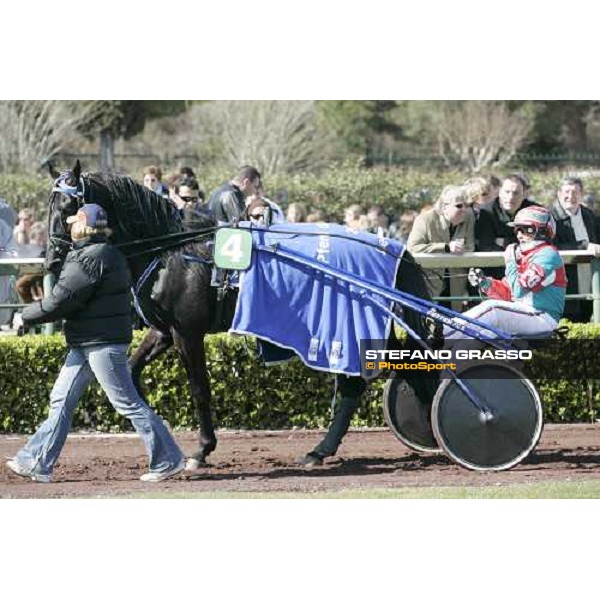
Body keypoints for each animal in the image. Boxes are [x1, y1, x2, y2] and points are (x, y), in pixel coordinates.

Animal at [47, 163, 438, 468]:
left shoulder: (187, 332)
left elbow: (199, 389)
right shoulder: (164, 331)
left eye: (68, 206)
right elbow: (130, 372)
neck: (172, 250)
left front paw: (202, 450)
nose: (52, 259)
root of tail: (391, 249)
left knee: (373, 379)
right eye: (49, 205)